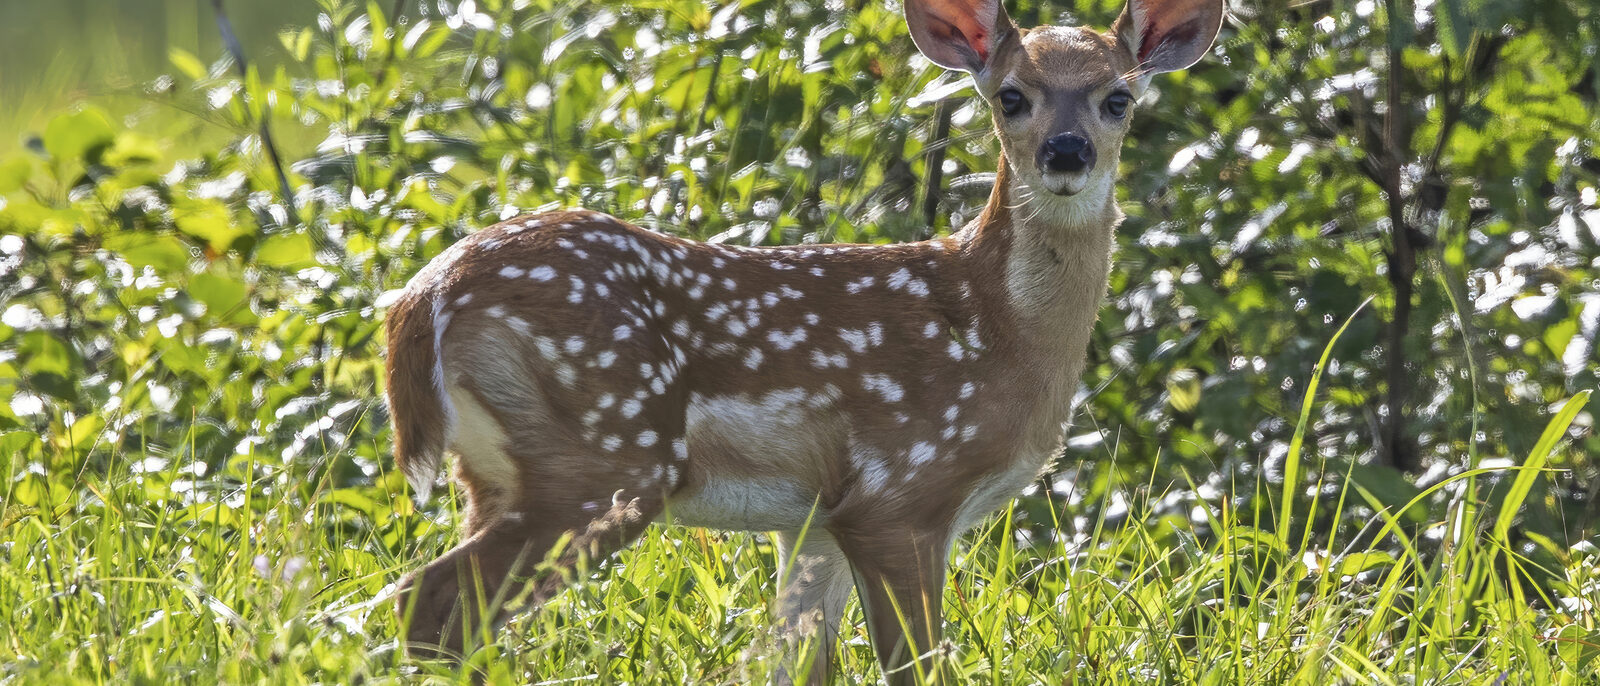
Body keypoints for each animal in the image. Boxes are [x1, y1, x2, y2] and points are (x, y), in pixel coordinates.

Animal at [383, 0, 1223, 682]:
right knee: (429, 599)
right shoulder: (901, 492)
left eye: (1118, 97)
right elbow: (915, 667)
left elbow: (788, 661)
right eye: (1011, 96)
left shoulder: (816, 520)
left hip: (501, 472)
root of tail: (422, 300)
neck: (1000, 330)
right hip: (602, 457)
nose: (1068, 153)